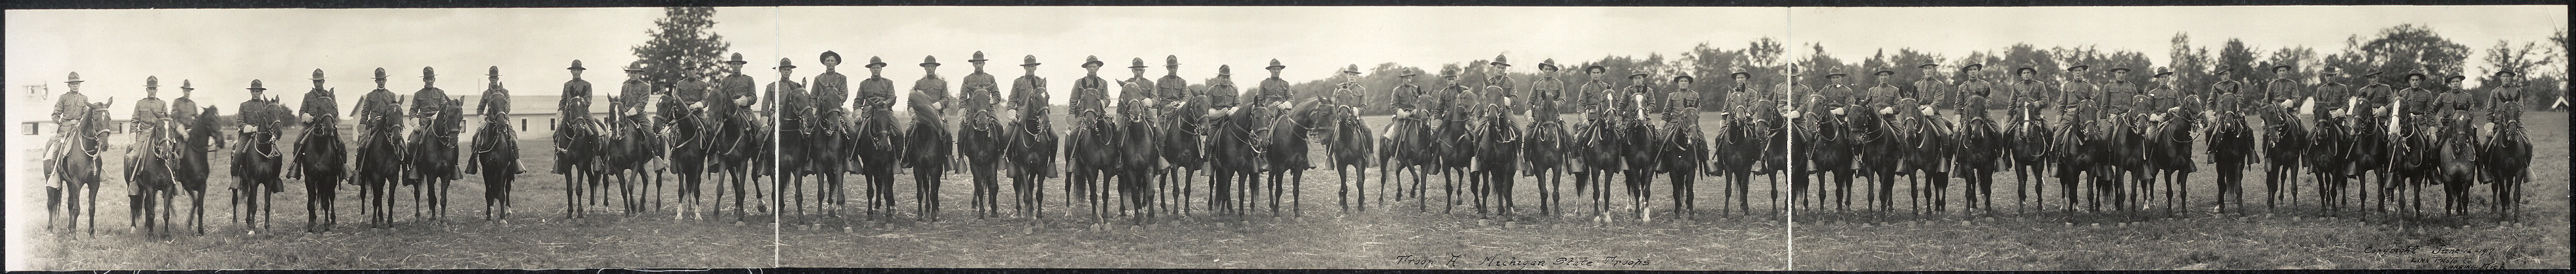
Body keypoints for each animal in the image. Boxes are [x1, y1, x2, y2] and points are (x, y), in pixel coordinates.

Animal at [292, 106, 347, 232]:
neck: (319, 147)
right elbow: (311, 202)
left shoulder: (328, 177)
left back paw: (333, 220)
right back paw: (314, 218)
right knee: (315, 195)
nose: (328, 129)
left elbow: (326, 202)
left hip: (333, 180)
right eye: (318, 107)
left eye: (332, 106)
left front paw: (327, 227)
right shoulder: (309, 178)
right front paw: (310, 226)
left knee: (332, 196)